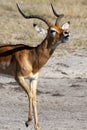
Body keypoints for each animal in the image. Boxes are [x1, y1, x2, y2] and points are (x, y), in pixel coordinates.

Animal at [0, 2, 70, 130]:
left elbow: (34, 98)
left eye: (62, 28)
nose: (67, 34)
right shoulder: (19, 78)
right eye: (52, 30)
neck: (32, 57)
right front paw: (28, 122)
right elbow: (30, 95)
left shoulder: (34, 78)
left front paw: (37, 126)